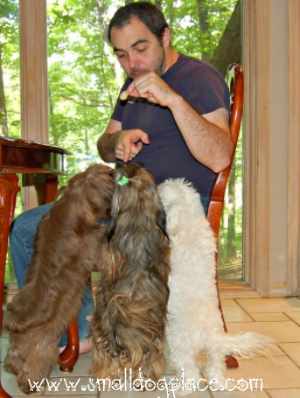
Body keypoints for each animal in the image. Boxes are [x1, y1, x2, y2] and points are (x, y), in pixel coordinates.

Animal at [4, 163, 115, 394]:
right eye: (109, 174)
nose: (116, 172)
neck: (76, 198)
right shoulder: (93, 249)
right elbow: (102, 251)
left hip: (19, 345)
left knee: (13, 358)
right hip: (46, 343)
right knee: (35, 362)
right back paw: (31, 384)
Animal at [158, 180, 274, 392]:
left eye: (162, 193)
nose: (157, 184)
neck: (190, 220)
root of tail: (211, 335)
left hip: (179, 345)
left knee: (191, 375)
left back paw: (180, 388)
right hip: (216, 353)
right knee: (214, 369)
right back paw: (218, 383)